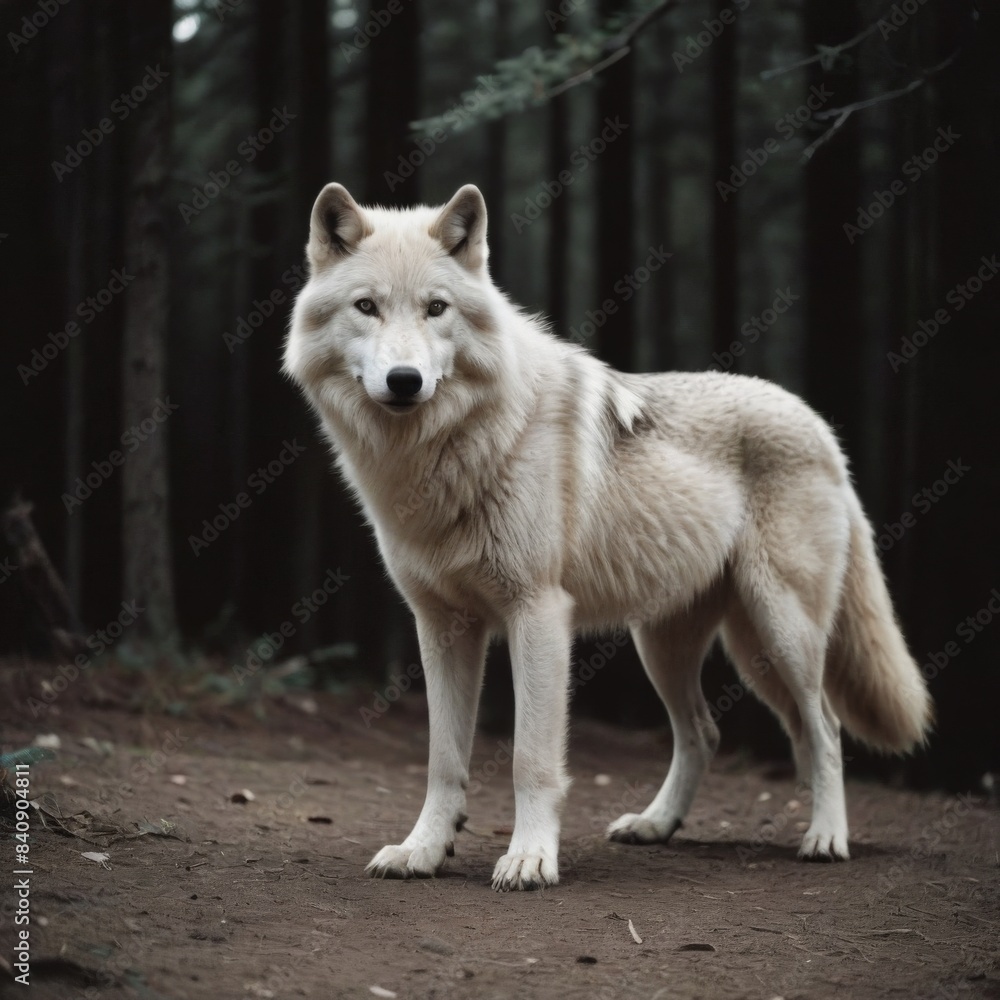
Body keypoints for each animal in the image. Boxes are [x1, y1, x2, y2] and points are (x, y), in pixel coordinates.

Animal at [283, 183, 932, 891]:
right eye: (366, 306)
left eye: (436, 308)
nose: (405, 380)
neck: (448, 452)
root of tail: (821, 427)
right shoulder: (443, 625)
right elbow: (443, 759)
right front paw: (423, 850)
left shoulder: (539, 614)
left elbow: (531, 759)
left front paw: (530, 858)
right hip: (673, 645)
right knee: (707, 732)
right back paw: (656, 825)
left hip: (780, 630)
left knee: (825, 728)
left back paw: (825, 837)